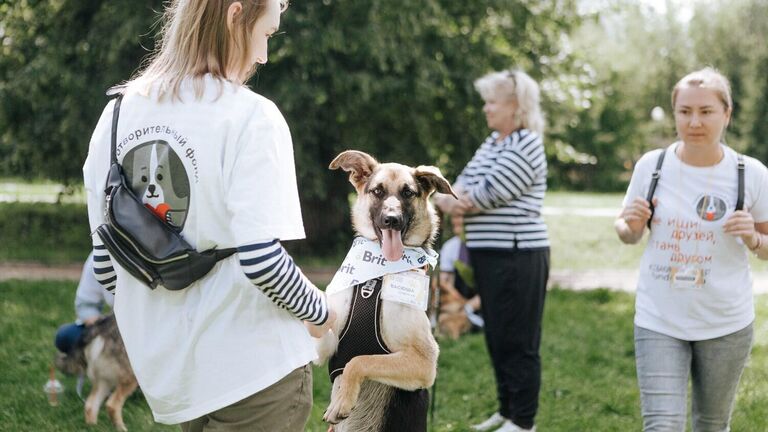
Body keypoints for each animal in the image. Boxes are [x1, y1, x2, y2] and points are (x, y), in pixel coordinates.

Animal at [316, 150, 456, 430]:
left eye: (408, 193)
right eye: (378, 191)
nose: (392, 220)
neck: (376, 276)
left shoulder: (423, 361)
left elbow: (359, 361)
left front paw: (342, 401)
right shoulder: (326, 346)